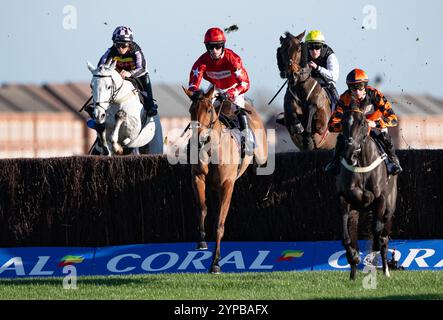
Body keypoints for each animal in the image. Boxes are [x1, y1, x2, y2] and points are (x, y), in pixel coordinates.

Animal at [183, 87, 268, 272]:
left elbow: (219, 224)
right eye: (191, 110)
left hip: (261, 156)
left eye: (208, 110)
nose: (199, 139)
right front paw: (201, 241)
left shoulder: (227, 185)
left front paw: (215, 263)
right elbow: (202, 208)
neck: (211, 149)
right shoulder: (197, 178)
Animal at [336, 109, 398, 280]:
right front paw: (354, 256)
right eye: (343, 122)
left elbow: (377, 229)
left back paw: (386, 270)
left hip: (389, 209)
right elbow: (346, 237)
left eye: (363, 123)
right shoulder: (344, 199)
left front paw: (374, 248)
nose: (350, 153)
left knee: (384, 236)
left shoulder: (381, 199)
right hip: (356, 211)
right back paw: (353, 274)